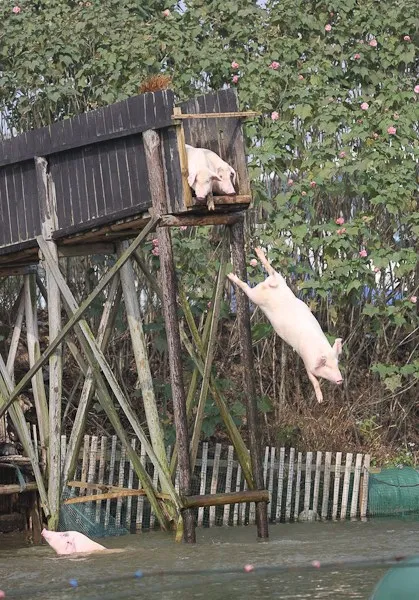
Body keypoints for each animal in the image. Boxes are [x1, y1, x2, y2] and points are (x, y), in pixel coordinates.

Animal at [228, 248, 342, 404]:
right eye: (327, 366)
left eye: (337, 363)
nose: (340, 379)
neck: (318, 349)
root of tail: (268, 285)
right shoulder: (307, 361)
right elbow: (313, 380)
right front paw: (320, 400)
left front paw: (320, 400)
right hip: (256, 296)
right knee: (246, 287)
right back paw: (231, 276)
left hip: (280, 280)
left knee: (272, 270)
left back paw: (258, 252)